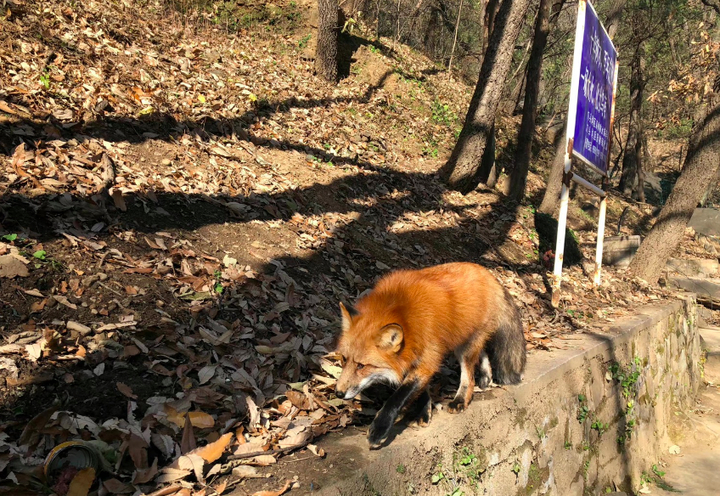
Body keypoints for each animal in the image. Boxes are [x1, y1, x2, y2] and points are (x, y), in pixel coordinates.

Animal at [334, 262, 524, 448]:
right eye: (344, 359)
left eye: (361, 366)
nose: (338, 393)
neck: (406, 315)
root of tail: (488, 273)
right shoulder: (414, 358)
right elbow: (421, 390)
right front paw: (423, 413)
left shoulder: (428, 356)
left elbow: (398, 397)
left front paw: (379, 429)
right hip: (463, 339)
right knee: (483, 352)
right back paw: (485, 377)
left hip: (466, 347)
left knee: (468, 378)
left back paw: (460, 400)